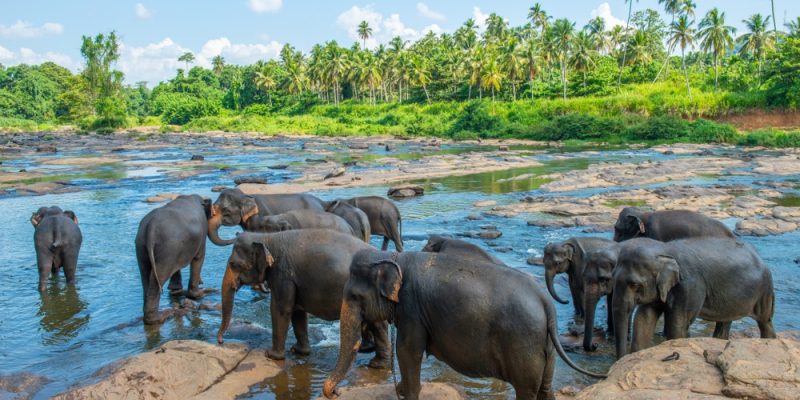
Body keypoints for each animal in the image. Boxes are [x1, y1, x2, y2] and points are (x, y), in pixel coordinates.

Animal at [135, 195, 220, 325]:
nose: (202, 282)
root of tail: (151, 228)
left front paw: (176, 290)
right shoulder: (202, 234)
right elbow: (199, 258)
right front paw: (200, 294)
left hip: (142, 246)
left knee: (145, 275)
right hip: (168, 248)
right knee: (158, 277)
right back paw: (163, 316)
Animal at [216, 229, 391, 368]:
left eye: (233, 264)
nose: (221, 341)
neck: (267, 237)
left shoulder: (283, 274)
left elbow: (281, 309)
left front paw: (271, 355)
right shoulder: (295, 281)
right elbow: (297, 311)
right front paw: (299, 351)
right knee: (378, 324)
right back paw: (376, 362)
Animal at [323, 250, 606, 400]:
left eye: (355, 296)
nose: (335, 393)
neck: (393, 257)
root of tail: (546, 302)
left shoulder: (412, 309)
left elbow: (408, 352)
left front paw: (407, 393)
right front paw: (401, 390)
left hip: (523, 343)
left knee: (527, 390)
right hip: (545, 345)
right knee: (545, 389)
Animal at [612, 237, 776, 359]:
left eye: (634, 284)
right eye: (613, 277)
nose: (610, 372)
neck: (666, 249)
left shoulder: (690, 286)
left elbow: (677, 327)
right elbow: (644, 319)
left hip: (765, 289)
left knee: (765, 320)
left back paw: (769, 341)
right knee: (725, 321)